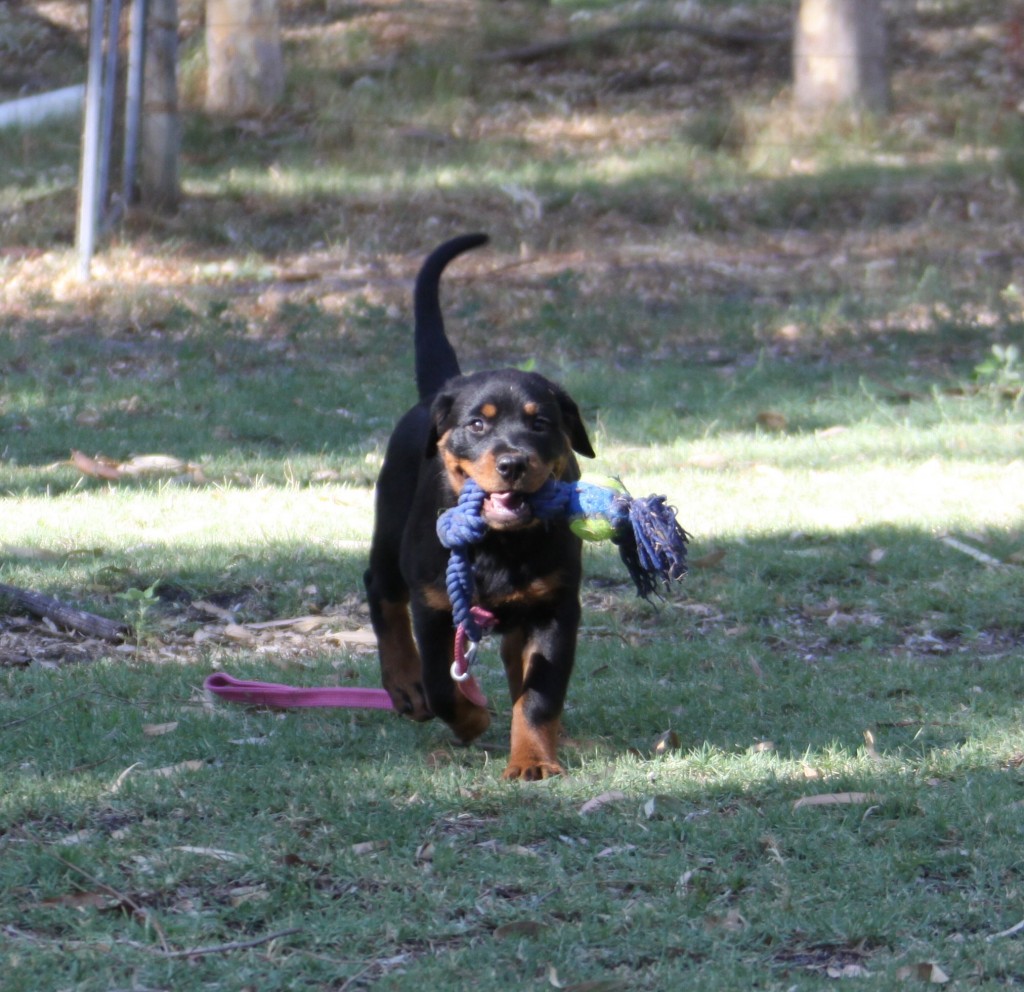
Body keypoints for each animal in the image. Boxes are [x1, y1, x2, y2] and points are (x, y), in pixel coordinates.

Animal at [366, 234, 593, 782]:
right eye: (477, 425)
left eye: (540, 424)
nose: (513, 462)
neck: (500, 543)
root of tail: (436, 392)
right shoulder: (434, 604)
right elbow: (443, 685)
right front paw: (472, 719)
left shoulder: (556, 608)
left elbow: (540, 694)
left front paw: (532, 759)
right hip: (392, 526)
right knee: (381, 591)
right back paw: (404, 685)